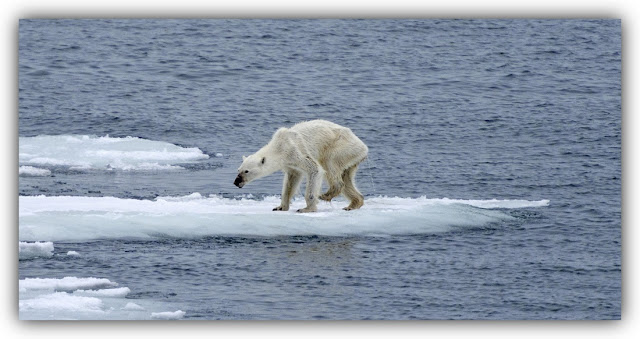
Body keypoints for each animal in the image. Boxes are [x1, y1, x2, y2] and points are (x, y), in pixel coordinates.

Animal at [232, 121, 368, 214]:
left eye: (246, 171)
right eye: (238, 170)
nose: (236, 182)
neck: (279, 146)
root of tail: (363, 147)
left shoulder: (295, 151)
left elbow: (315, 169)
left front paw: (306, 208)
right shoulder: (289, 163)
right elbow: (291, 180)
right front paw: (280, 207)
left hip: (341, 147)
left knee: (330, 165)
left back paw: (326, 195)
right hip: (351, 157)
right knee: (346, 178)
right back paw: (353, 204)